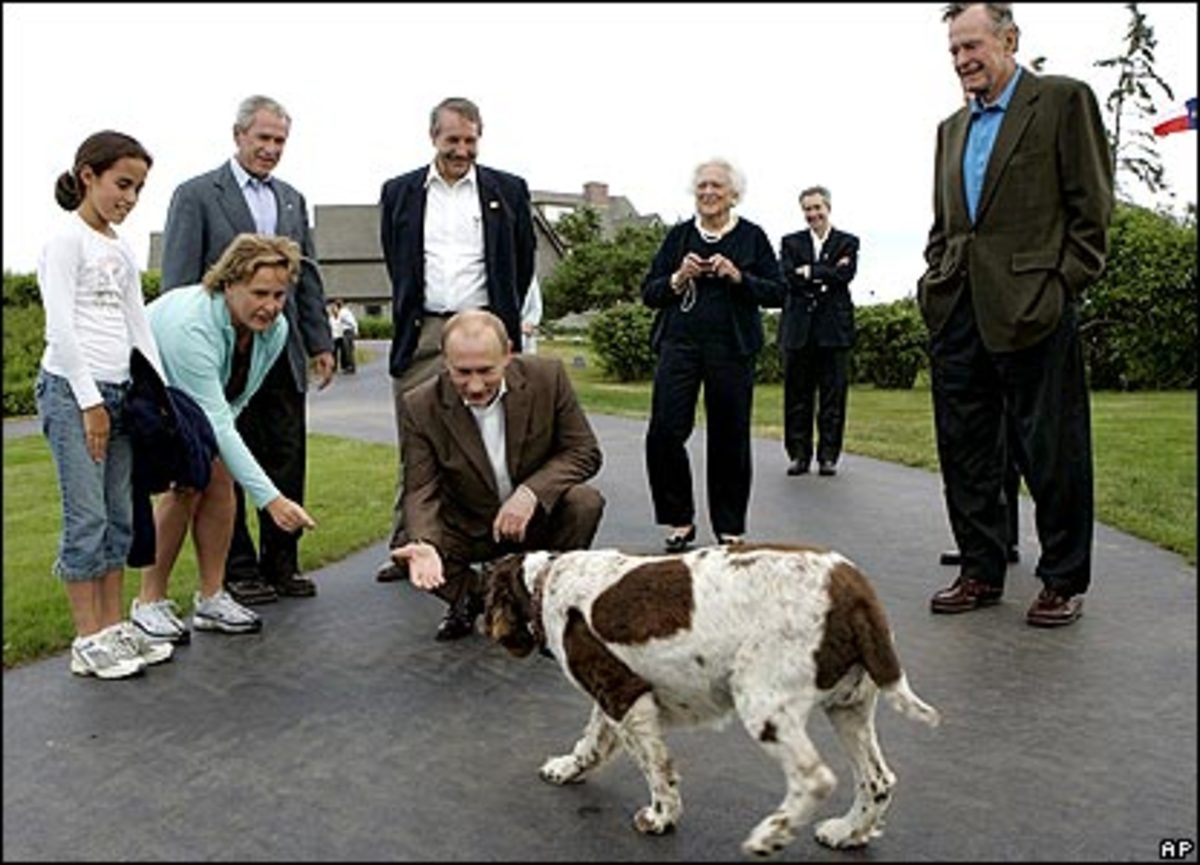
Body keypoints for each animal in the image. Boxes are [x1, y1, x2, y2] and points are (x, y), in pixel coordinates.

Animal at [482, 542, 940, 854]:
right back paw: (847, 832)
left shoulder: (624, 696)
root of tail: (856, 592)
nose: (483, 624)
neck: (546, 581)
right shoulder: (614, 692)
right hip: (849, 706)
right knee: (878, 780)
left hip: (763, 703)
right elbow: (591, 742)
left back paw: (770, 836)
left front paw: (661, 817)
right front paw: (565, 769)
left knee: (816, 777)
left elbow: (655, 768)